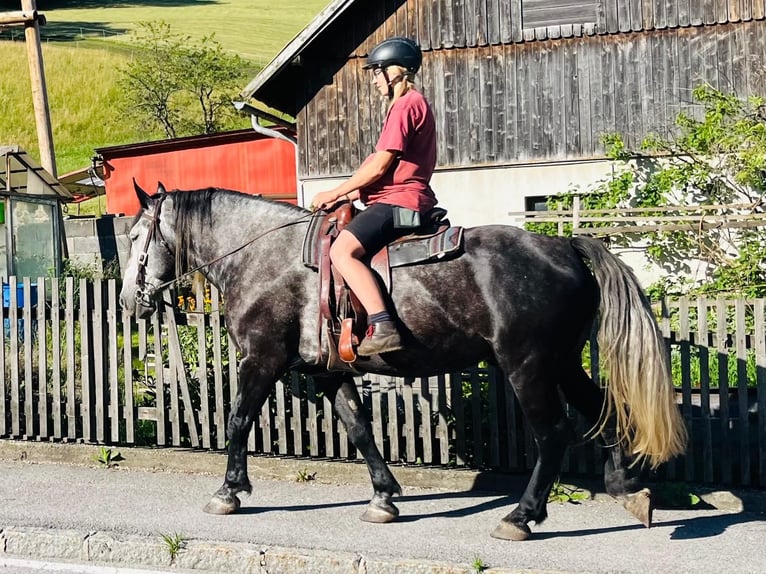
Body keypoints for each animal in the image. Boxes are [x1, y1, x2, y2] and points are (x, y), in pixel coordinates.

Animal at [119, 183, 687, 541]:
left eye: (136, 237)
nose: (129, 302)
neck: (262, 256)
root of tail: (565, 245)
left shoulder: (262, 359)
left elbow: (238, 421)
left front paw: (229, 490)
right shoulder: (330, 373)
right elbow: (360, 429)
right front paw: (385, 496)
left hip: (528, 365)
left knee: (553, 434)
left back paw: (521, 517)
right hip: (563, 362)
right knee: (602, 412)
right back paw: (628, 489)